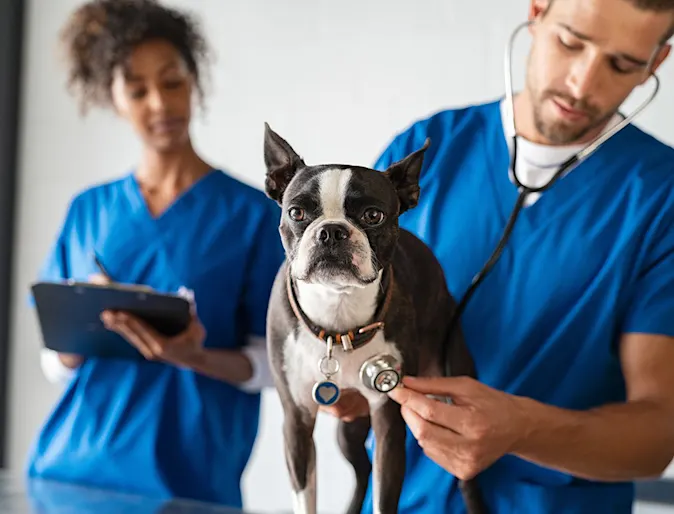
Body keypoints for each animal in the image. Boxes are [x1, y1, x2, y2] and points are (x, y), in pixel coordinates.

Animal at [262, 124, 484, 512]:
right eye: (296, 213)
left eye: (373, 216)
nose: (331, 231)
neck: (337, 318)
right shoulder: (297, 420)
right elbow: (306, 496)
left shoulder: (388, 419)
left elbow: (384, 495)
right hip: (348, 429)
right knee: (362, 469)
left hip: (452, 391)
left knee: (464, 477)